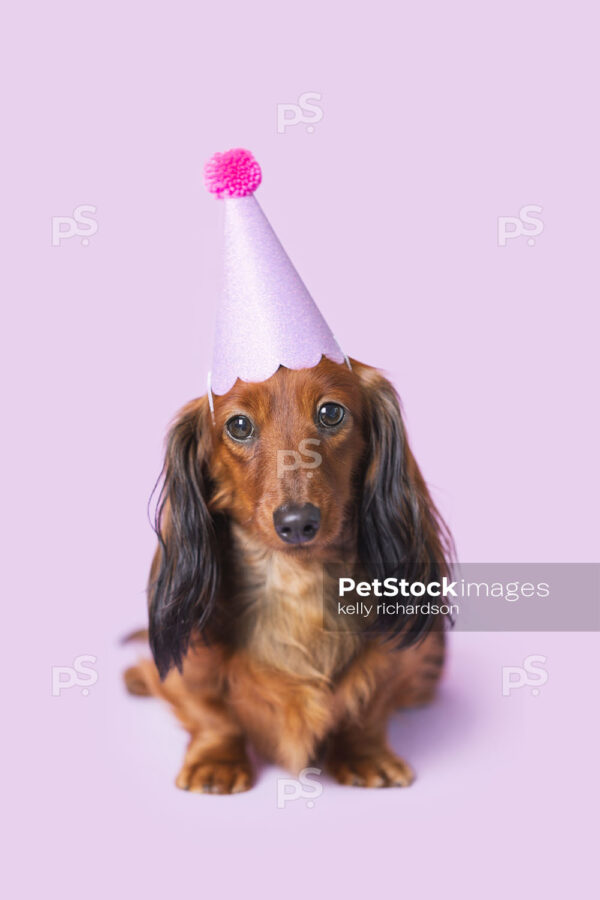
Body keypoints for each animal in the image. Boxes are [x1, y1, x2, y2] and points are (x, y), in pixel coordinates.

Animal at [124, 358, 450, 796]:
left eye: (331, 413)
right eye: (239, 425)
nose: (297, 523)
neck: (296, 579)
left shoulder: (394, 656)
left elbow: (369, 708)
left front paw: (365, 753)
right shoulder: (192, 658)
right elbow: (211, 713)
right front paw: (216, 760)